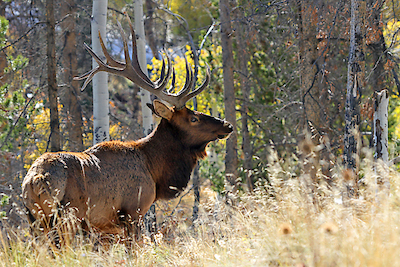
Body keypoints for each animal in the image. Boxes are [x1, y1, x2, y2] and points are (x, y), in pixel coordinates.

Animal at [21, 15, 234, 245]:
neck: (154, 170)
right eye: (193, 118)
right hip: (67, 217)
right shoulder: (133, 211)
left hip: (34, 220)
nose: (227, 125)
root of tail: (35, 180)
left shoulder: (106, 228)